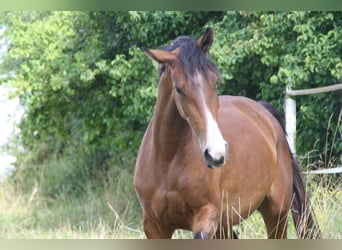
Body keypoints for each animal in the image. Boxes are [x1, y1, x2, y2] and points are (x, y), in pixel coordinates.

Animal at [134, 26, 320, 238]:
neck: (168, 161)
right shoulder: (154, 226)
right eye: (178, 89)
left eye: (215, 83)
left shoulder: (206, 217)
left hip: (276, 212)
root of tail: (264, 114)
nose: (216, 154)